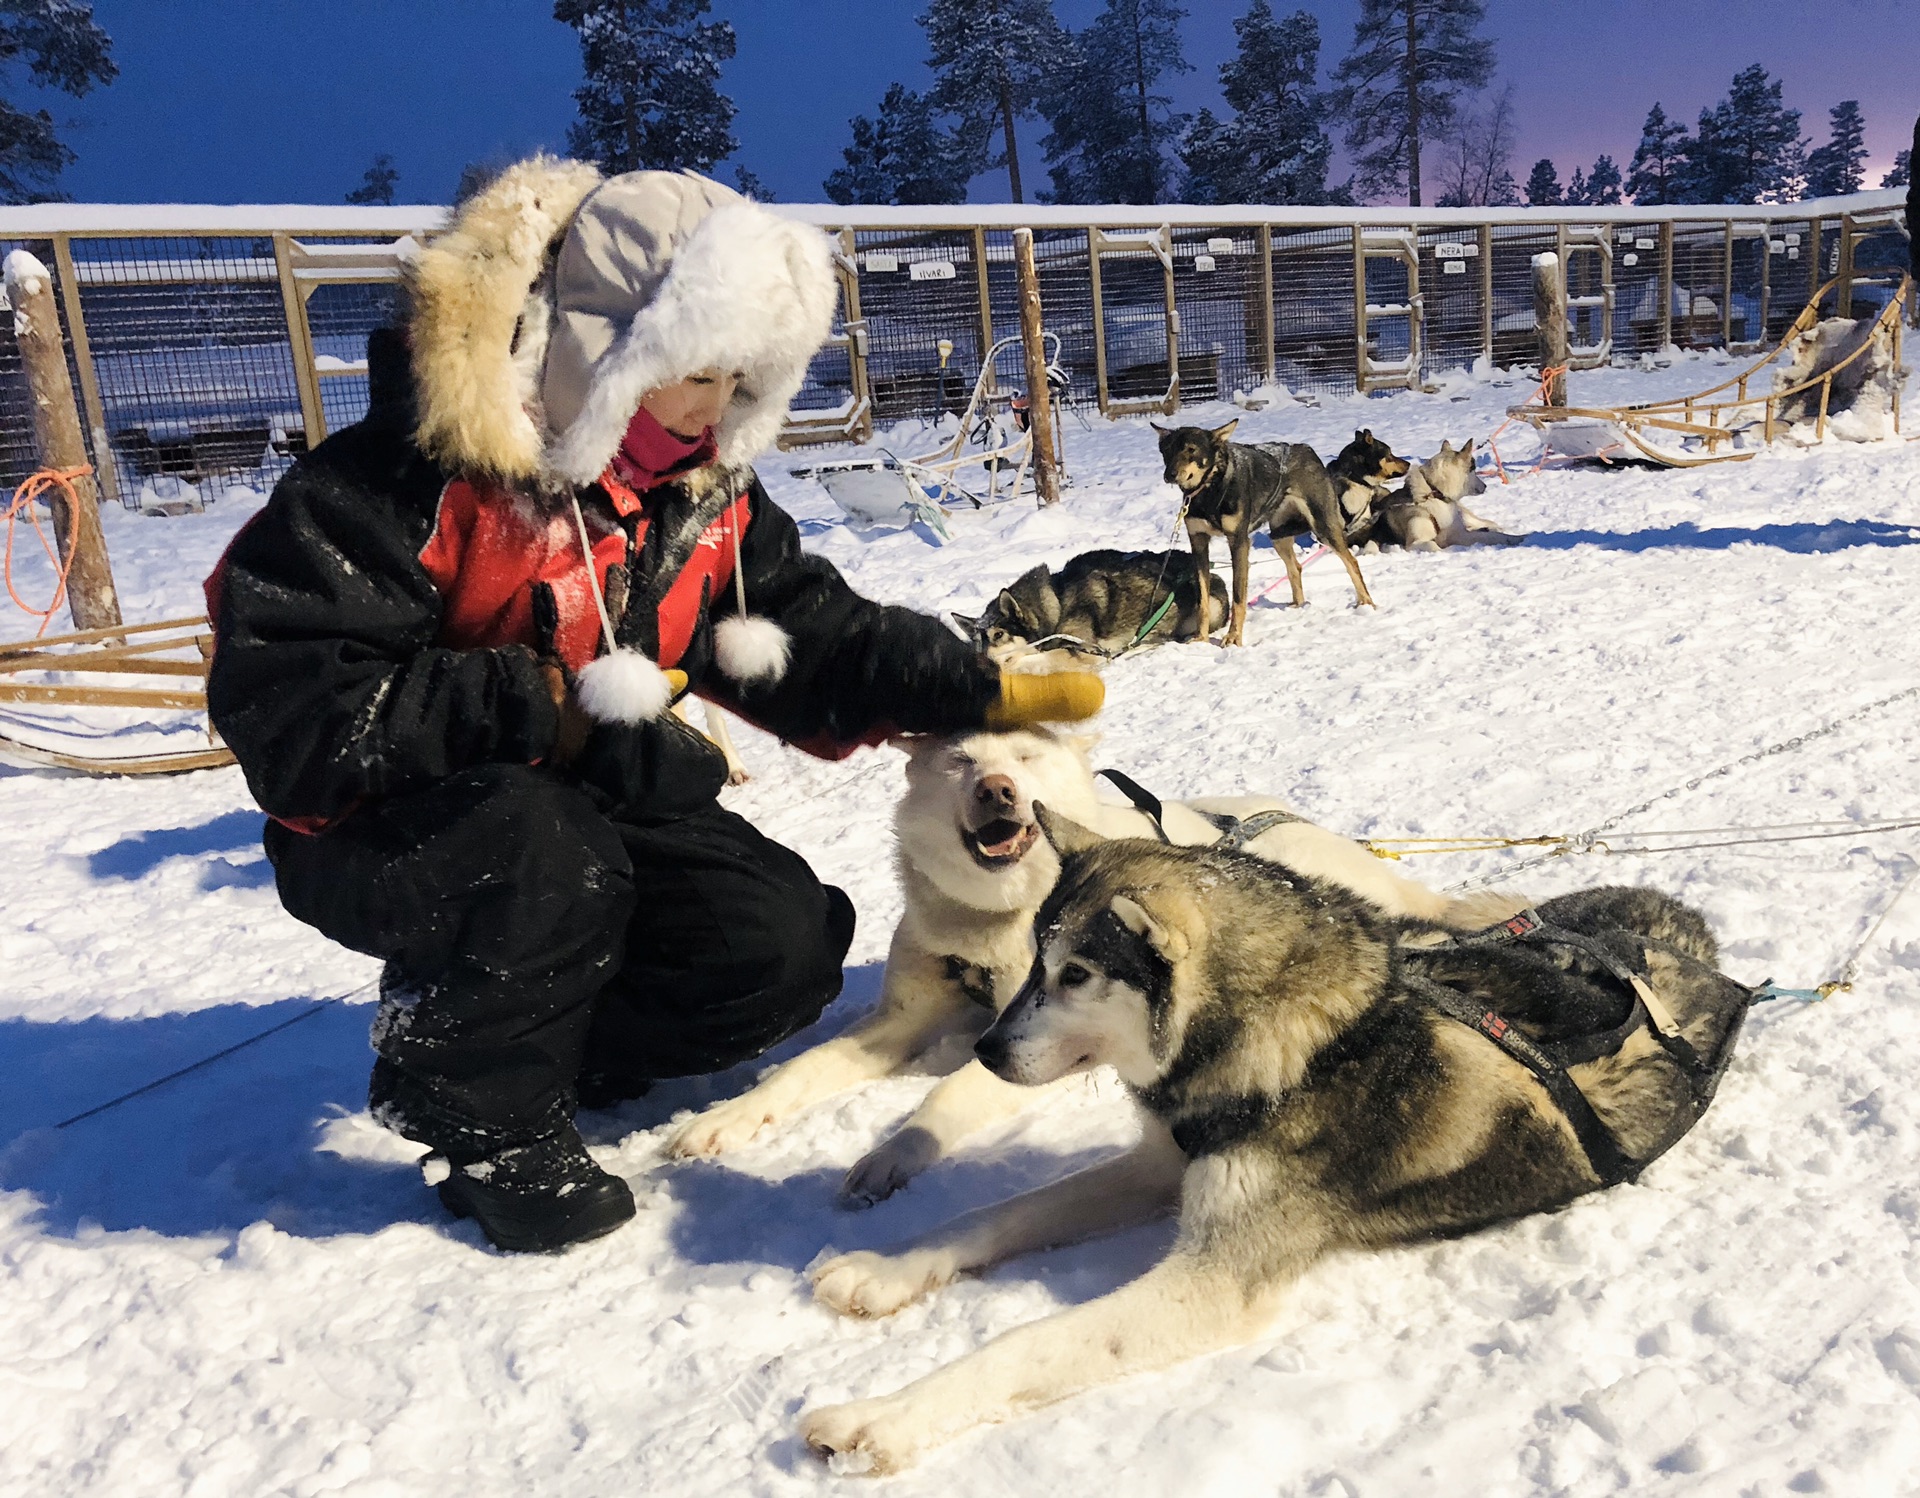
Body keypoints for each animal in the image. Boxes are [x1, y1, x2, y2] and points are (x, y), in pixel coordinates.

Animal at [798, 814, 1758, 1467]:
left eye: (1077, 975)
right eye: (1036, 961)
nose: (988, 1052)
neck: (1288, 1042)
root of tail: (1681, 935)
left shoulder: (1216, 1281)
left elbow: (1024, 1345)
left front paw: (878, 1418)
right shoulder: (1163, 1166)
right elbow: (995, 1218)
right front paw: (881, 1272)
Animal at [1144, 418, 1374, 641]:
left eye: (1191, 449)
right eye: (1166, 450)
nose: (1170, 474)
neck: (1210, 490)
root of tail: (1306, 449)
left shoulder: (1238, 542)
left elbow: (1238, 597)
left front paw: (1233, 638)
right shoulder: (1198, 542)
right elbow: (1203, 600)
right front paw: (1201, 638)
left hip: (1323, 527)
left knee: (1351, 562)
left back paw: (1366, 603)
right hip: (1279, 536)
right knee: (1295, 568)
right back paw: (1297, 605)